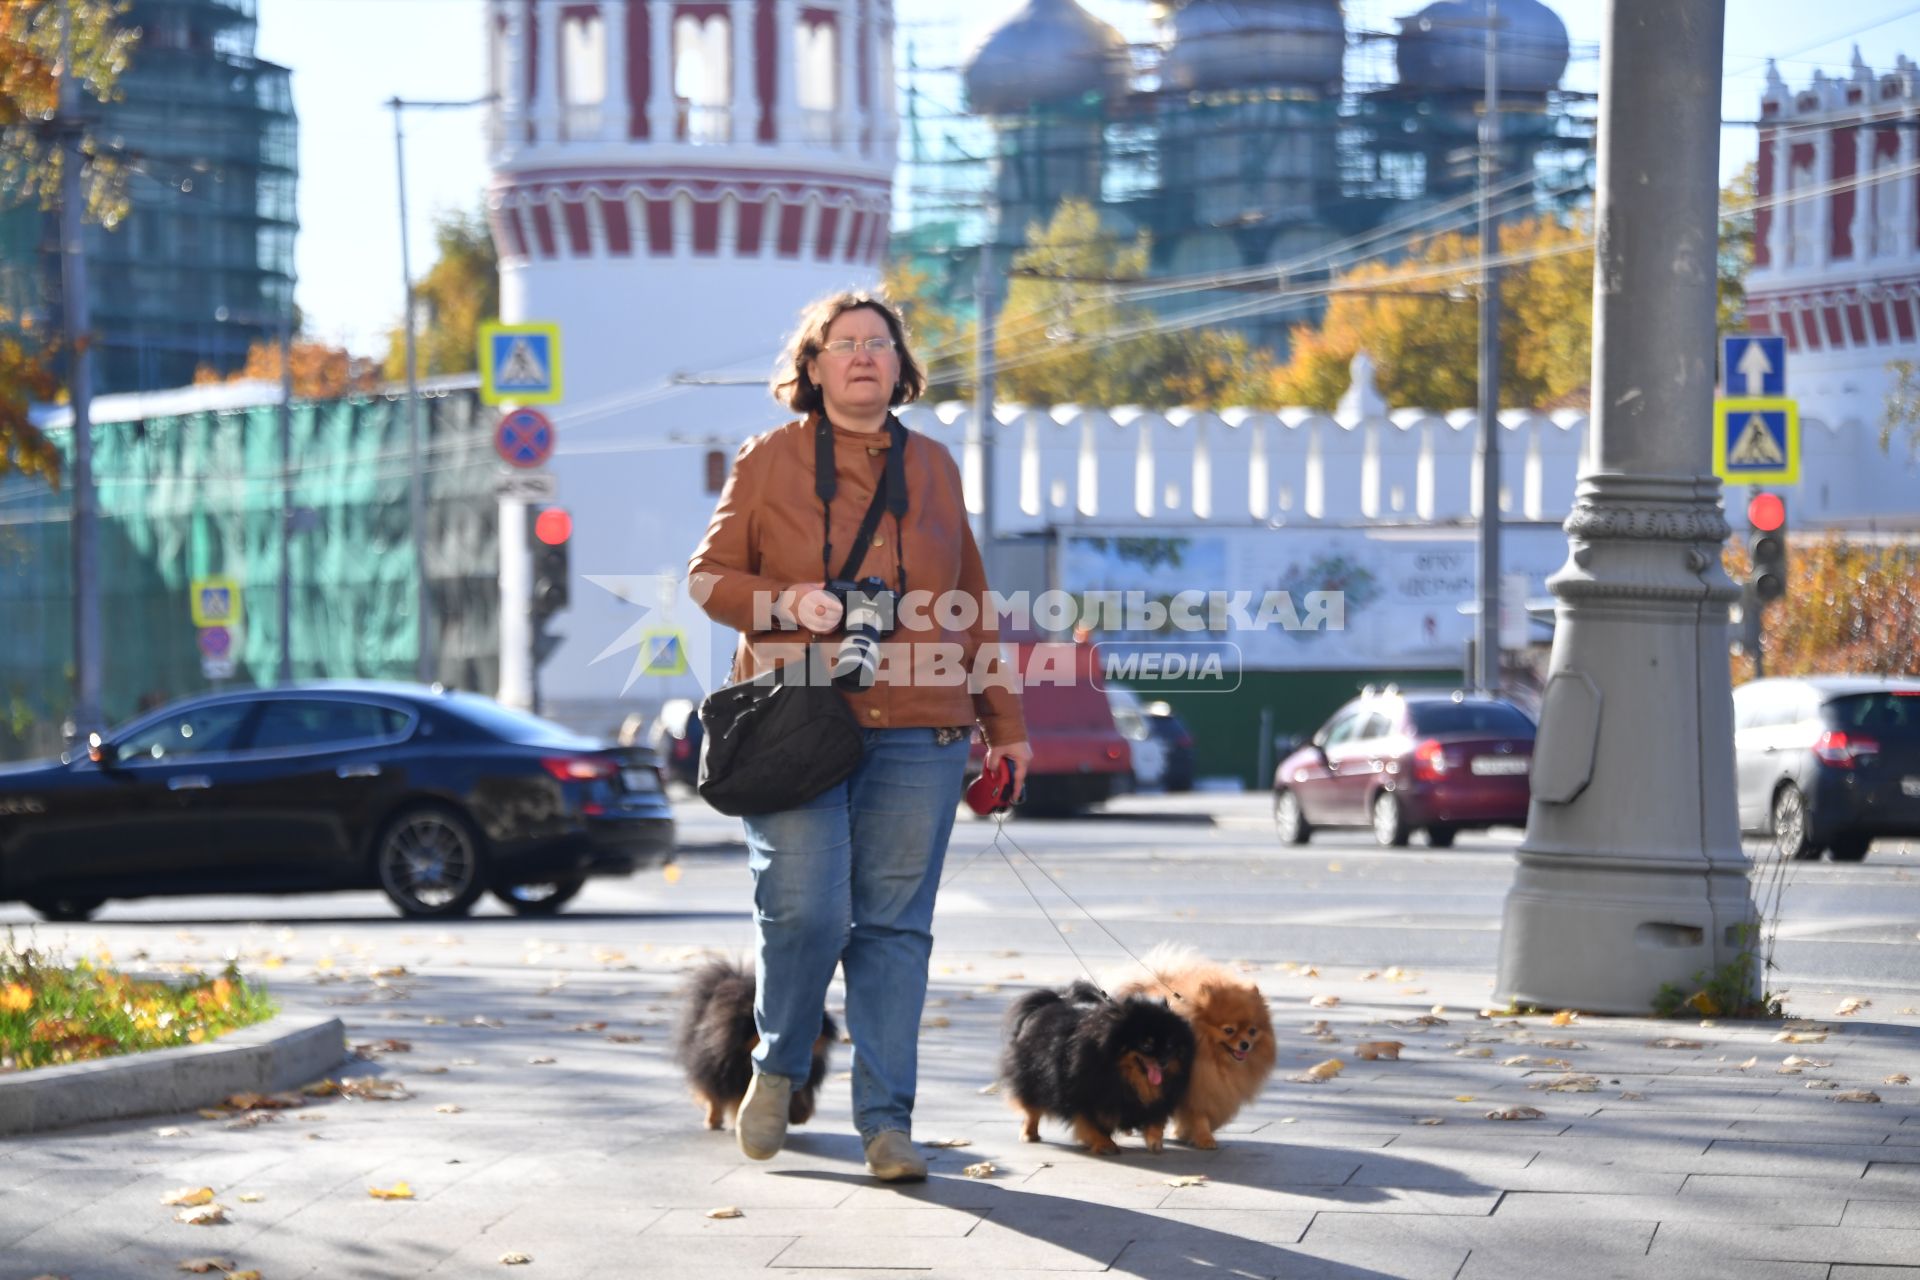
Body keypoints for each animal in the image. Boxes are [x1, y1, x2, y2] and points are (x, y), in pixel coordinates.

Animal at [998, 990, 1190, 1159]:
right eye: (1146, 1045)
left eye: (1170, 1045)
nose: (1164, 1060)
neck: (1123, 1075)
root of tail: (1045, 1006)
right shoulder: (1084, 1093)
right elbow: (1091, 1123)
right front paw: (1105, 1144)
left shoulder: (1156, 1098)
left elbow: (1156, 1119)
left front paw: (1155, 1141)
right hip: (1032, 1080)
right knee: (1032, 1110)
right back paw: (1029, 1133)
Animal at [1113, 940, 1274, 1151]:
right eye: (1229, 1030)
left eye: (1253, 1031)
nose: (1245, 1044)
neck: (1215, 1059)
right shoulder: (1195, 1088)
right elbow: (1198, 1115)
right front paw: (1204, 1138)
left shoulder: (1213, 1088)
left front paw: (1185, 1133)